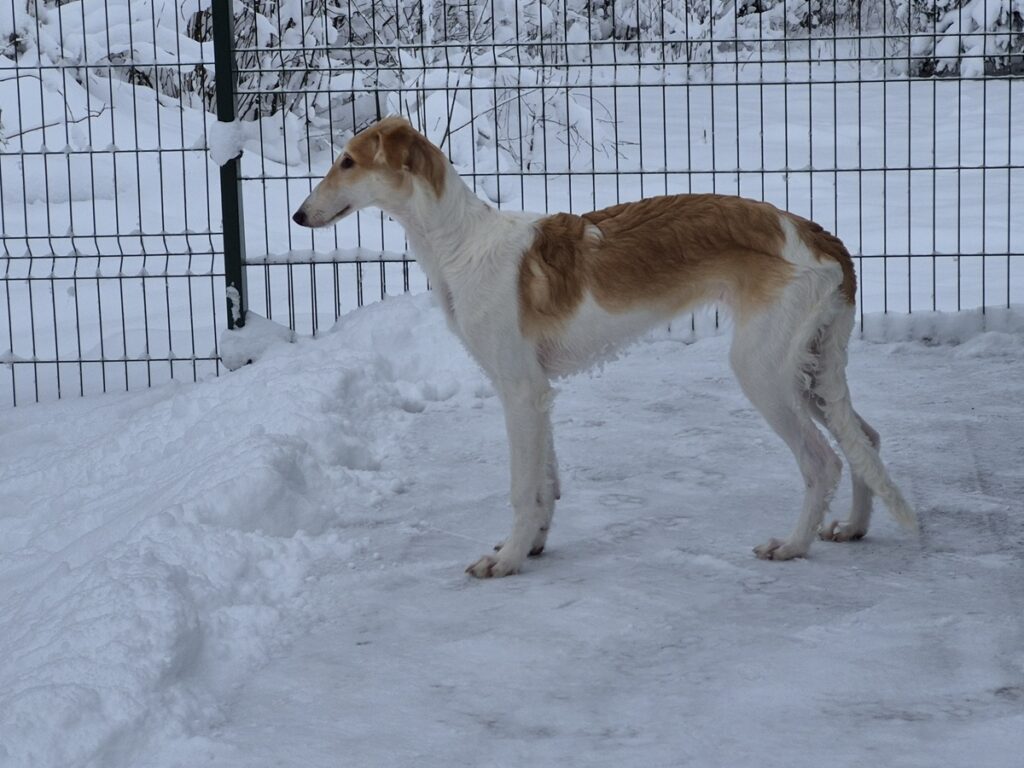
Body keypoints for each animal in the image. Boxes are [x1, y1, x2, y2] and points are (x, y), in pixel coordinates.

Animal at [293, 116, 916, 578]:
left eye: (347, 162)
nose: (298, 215)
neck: (462, 245)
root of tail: (820, 236)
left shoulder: (520, 391)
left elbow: (522, 487)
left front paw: (507, 559)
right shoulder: (537, 392)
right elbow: (545, 484)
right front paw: (532, 546)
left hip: (763, 370)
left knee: (822, 461)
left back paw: (792, 545)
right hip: (809, 368)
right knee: (866, 438)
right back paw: (855, 527)